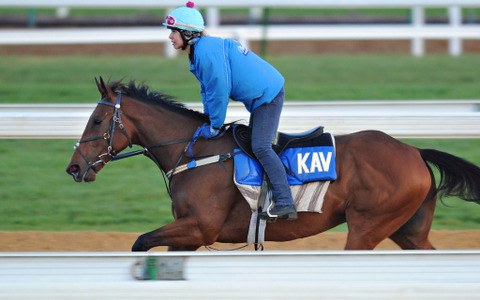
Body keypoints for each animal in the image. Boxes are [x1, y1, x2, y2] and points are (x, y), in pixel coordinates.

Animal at [65, 77, 480, 251]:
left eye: (97, 121)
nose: (74, 168)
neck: (195, 154)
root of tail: (413, 151)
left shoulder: (200, 227)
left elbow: (139, 242)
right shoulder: (191, 236)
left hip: (367, 227)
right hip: (408, 231)